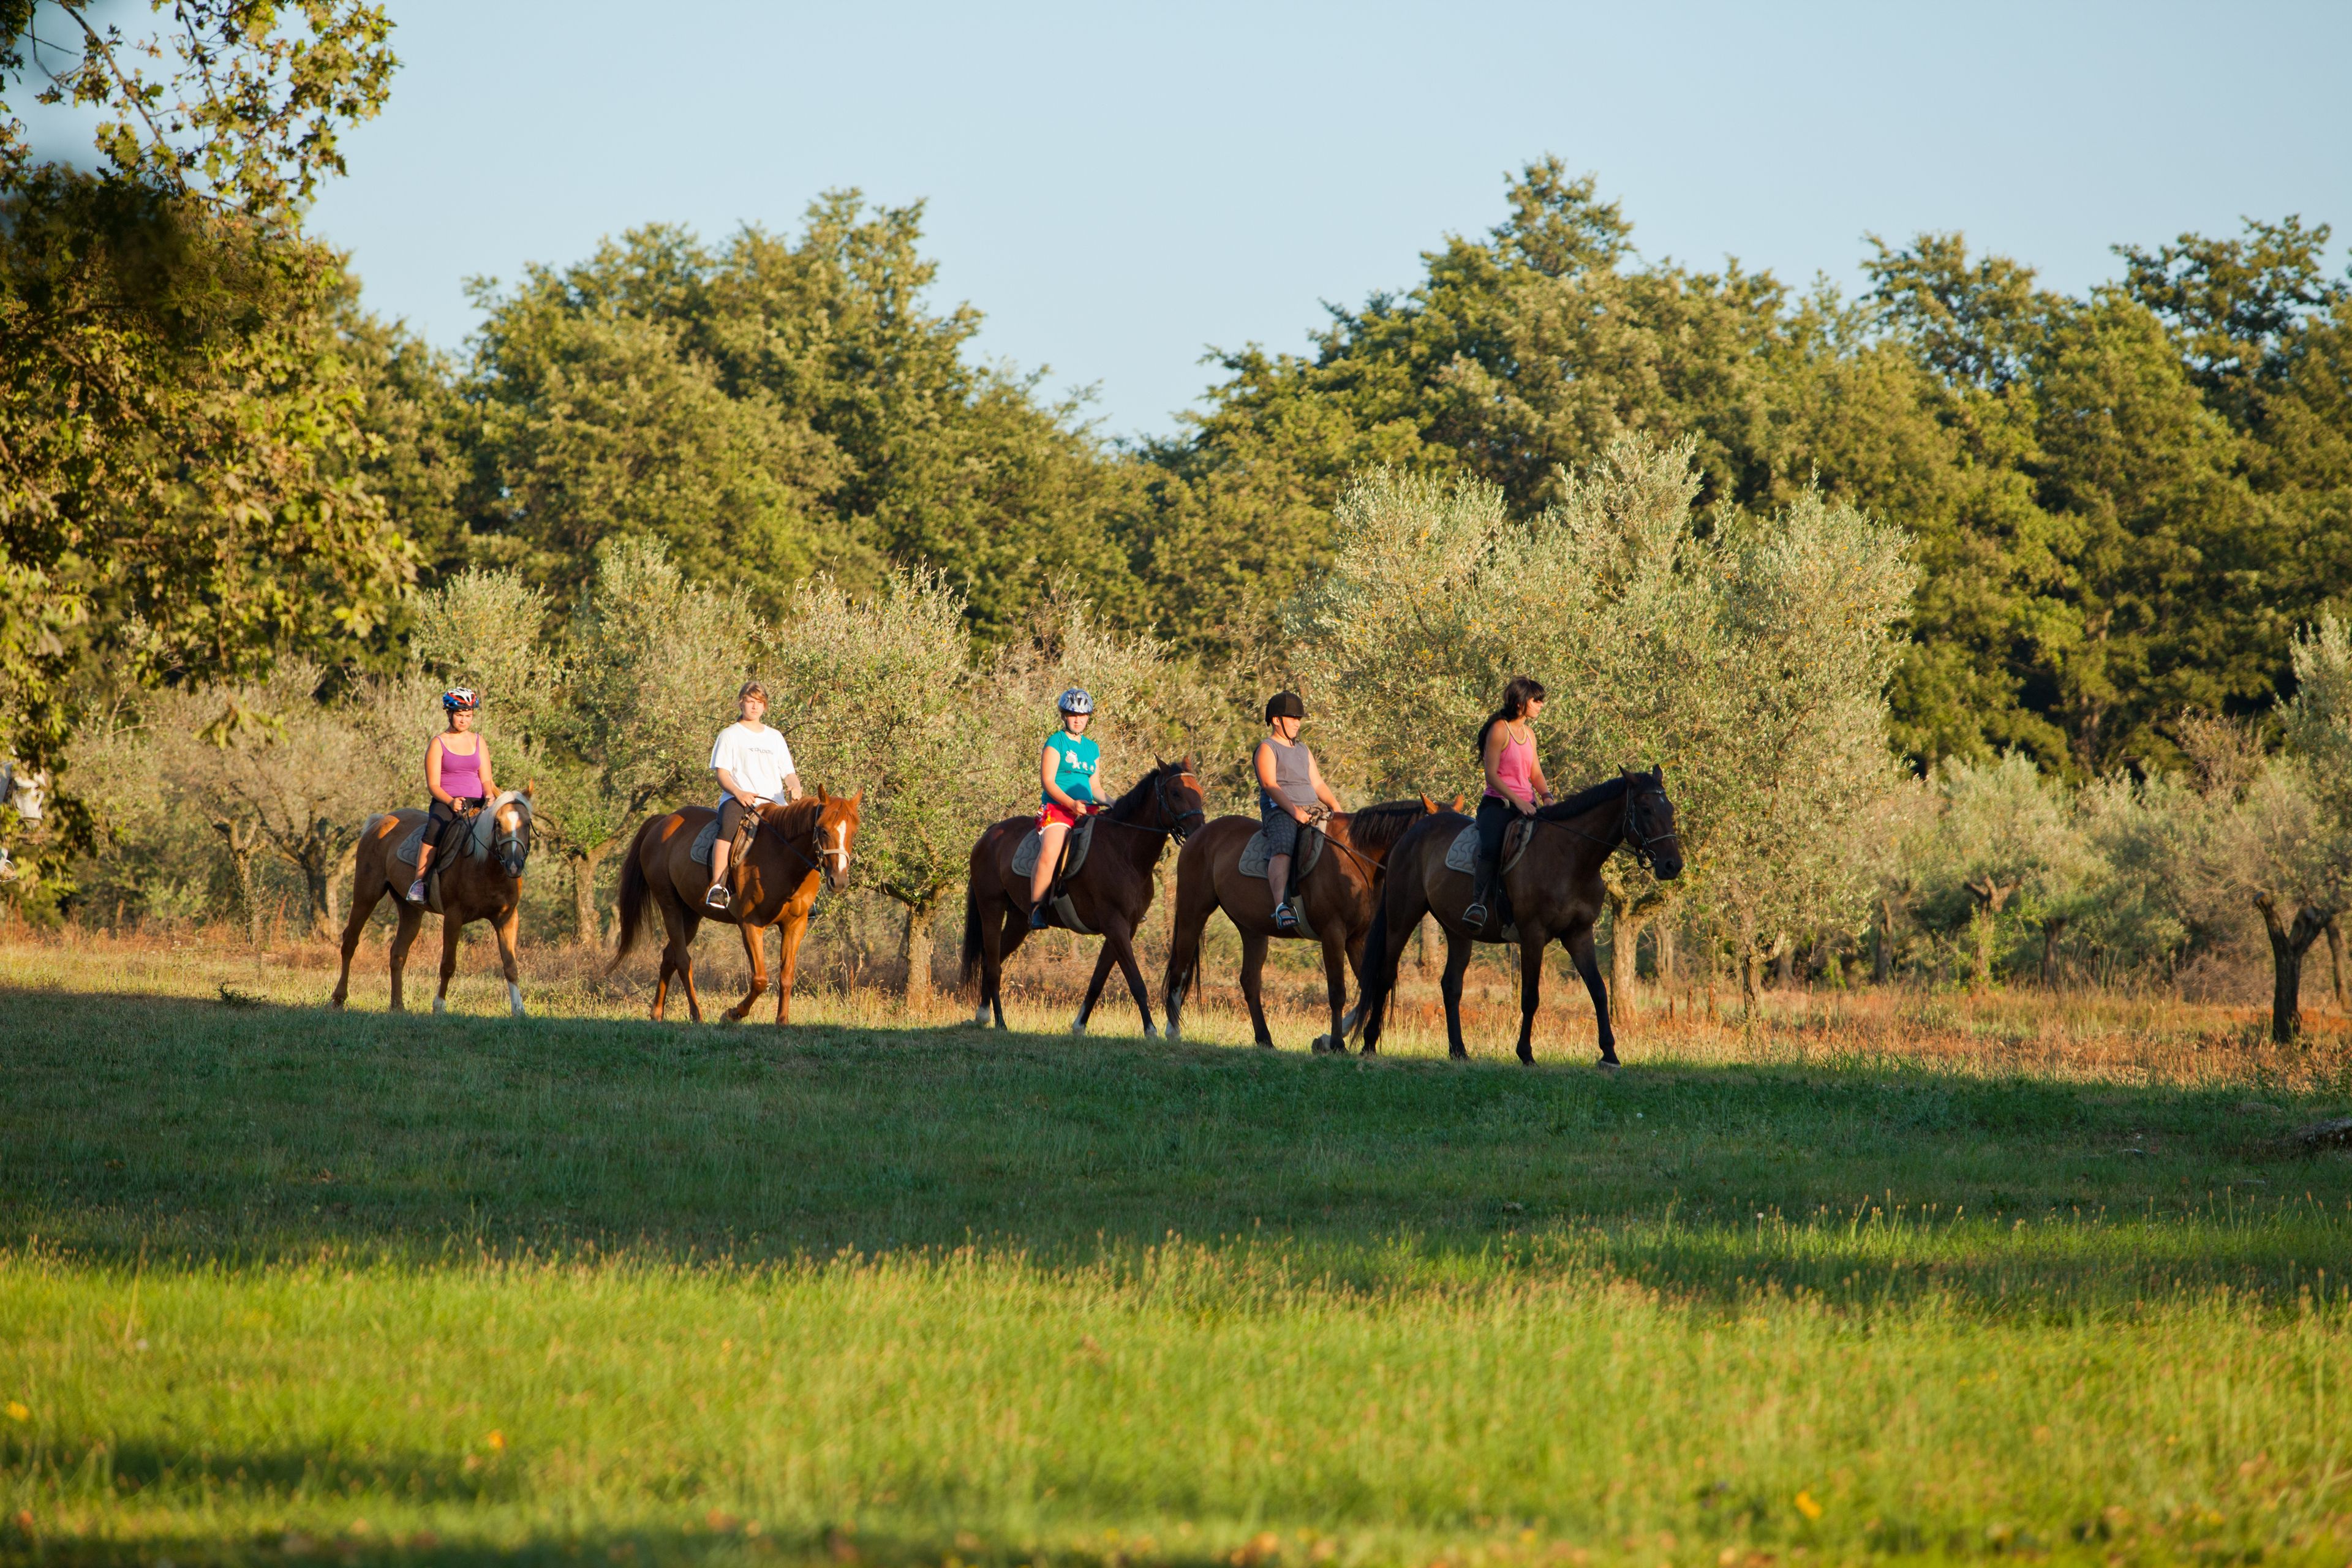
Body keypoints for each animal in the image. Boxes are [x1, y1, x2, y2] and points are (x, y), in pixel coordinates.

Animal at [332, 790, 537, 1016]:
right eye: (498, 823)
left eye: (527, 823)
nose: (514, 865)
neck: (485, 867)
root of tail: (380, 821)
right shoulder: (454, 916)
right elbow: (448, 964)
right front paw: (439, 1005)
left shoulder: (507, 918)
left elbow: (510, 965)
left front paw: (518, 1009)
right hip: (366, 895)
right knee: (350, 942)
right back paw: (339, 998)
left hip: (410, 911)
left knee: (398, 953)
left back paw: (398, 1006)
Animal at [611, 789, 862, 1025]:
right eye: (823, 830)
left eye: (853, 832)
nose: (839, 881)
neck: (784, 859)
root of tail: (663, 821)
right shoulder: (751, 924)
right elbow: (760, 979)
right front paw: (732, 1014)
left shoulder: (795, 925)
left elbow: (787, 975)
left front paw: (782, 1021)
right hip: (669, 905)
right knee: (682, 960)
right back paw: (696, 1014)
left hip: (691, 915)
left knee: (668, 956)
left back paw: (657, 1013)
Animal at [960, 758, 1207, 1038]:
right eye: (1176, 793)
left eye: (1199, 791)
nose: (1199, 831)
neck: (1124, 849)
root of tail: (990, 834)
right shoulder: (1115, 925)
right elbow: (1136, 981)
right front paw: (1150, 1030)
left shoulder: (1125, 928)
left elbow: (1098, 981)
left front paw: (1079, 1026)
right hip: (991, 907)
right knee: (992, 965)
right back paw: (1000, 1022)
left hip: (1018, 921)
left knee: (994, 960)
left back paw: (983, 1014)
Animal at [1161, 797, 1445, 1052]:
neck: (1357, 857)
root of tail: (1199, 835)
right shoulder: (1333, 934)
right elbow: (1337, 991)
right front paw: (1336, 1044)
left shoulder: (1357, 939)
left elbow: (1369, 988)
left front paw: (1326, 1040)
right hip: (1192, 913)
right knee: (1179, 968)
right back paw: (1172, 1031)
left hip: (1252, 930)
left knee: (1250, 981)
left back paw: (1265, 1039)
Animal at [1355, 768, 1683, 1067]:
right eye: (1646, 809)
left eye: (1670, 809)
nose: (1672, 866)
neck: (1570, 857)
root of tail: (1411, 835)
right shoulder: (1532, 935)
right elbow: (1531, 996)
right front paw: (1526, 1054)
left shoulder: (1579, 934)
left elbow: (1599, 991)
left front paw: (1610, 1055)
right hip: (1401, 918)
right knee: (1385, 975)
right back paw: (1369, 1044)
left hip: (1458, 931)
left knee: (1451, 986)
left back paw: (1458, 1051)